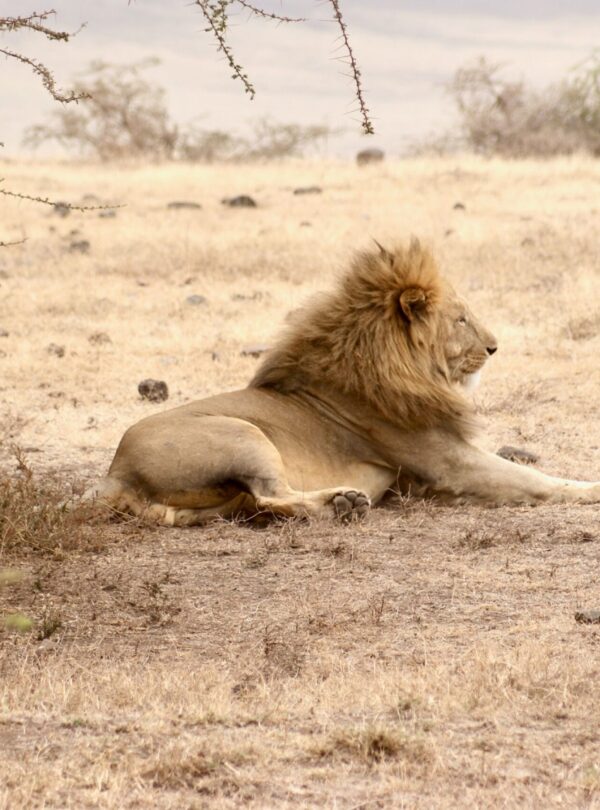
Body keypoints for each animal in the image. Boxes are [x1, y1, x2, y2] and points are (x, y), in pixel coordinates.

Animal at [85, 239, 600, 525]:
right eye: (461, 320)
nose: (494, 348)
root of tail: (116, 471)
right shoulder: (449, 463)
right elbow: (533, 478)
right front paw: (590, 488)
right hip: (241, 434)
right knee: (272, 493)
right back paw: (343, 504)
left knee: (258, 504)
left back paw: (341, 504)